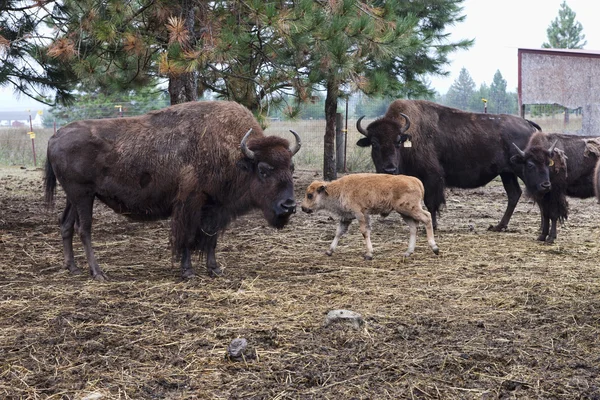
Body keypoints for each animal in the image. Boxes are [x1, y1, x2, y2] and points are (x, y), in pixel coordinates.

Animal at [44, 101, 302, 282]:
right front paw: (187, 271)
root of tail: (55, 137)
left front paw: (215, 268)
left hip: (73, 197)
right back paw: (97, 273)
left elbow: (211, 239)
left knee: (66, 225)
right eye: (264, 170)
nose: (289, 206)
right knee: (84, 229)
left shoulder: (216, 207)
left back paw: (73, 268)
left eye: (291, 167)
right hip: (83, 195)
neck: (235, 155)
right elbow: (187, 237)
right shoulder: (190, 204)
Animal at [302, 172, 438, 260]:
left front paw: (369, 254)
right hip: (404, 213)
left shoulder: (360, 214)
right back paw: (408, 252)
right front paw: (329, 251)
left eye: (310, 195)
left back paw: (434, 247)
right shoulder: (346, 217)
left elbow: (364, 232)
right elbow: (339, 232)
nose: (303, 208)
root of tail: (417, 181)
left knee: (427, 217)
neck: (339, 189)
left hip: (409, 209)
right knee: (413, 227)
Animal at [356, 99, 540, 230]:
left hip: (521, 171)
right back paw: (499, 226)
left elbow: (431, 202)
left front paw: (432, 225)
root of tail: (527, 124)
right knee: (514, 194)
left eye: (398, 142)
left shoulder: (432, 177)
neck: (410, 136)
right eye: (374, 143)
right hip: (506, 173)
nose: (389, 169)